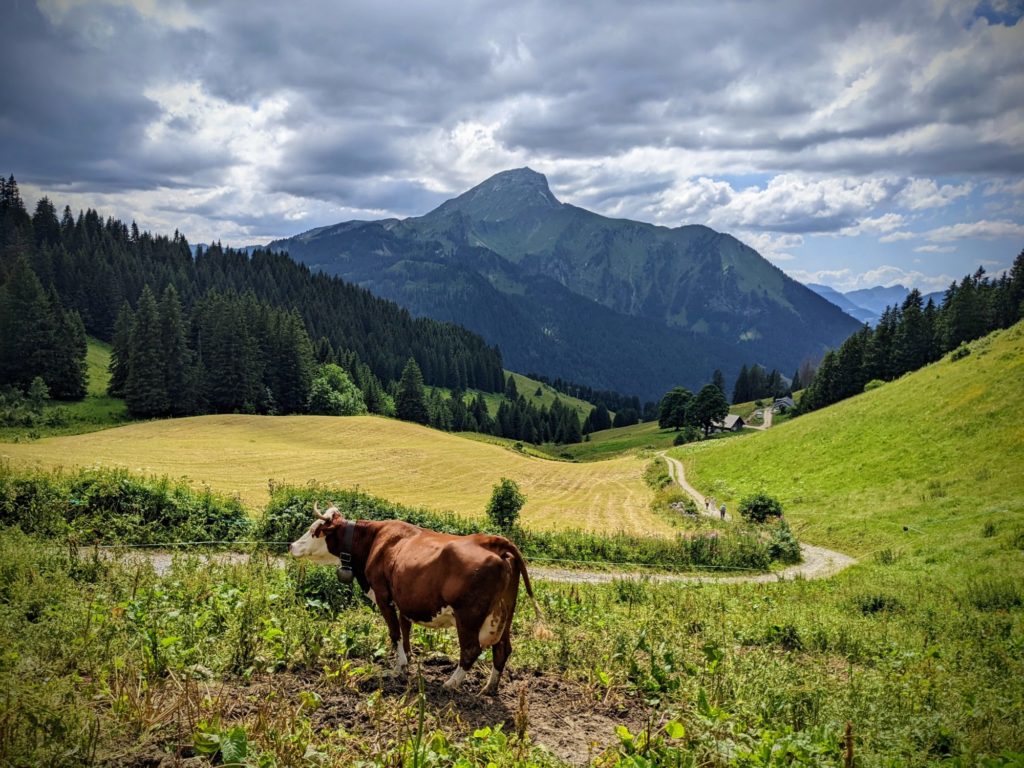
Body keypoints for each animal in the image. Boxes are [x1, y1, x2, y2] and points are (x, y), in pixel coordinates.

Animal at [288, 502, 541, 695]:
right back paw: (489, 687)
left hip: (468, 615)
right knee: (503, 649)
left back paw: (450, 684)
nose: (291, 545)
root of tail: (491, 541)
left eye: (314, 530)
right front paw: (407, 661)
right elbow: (405, 630)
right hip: (506, 612)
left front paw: (398, 668)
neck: (374, 541)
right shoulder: (404, 601)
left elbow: (394, 633)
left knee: (471, 649)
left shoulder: (383, 597)